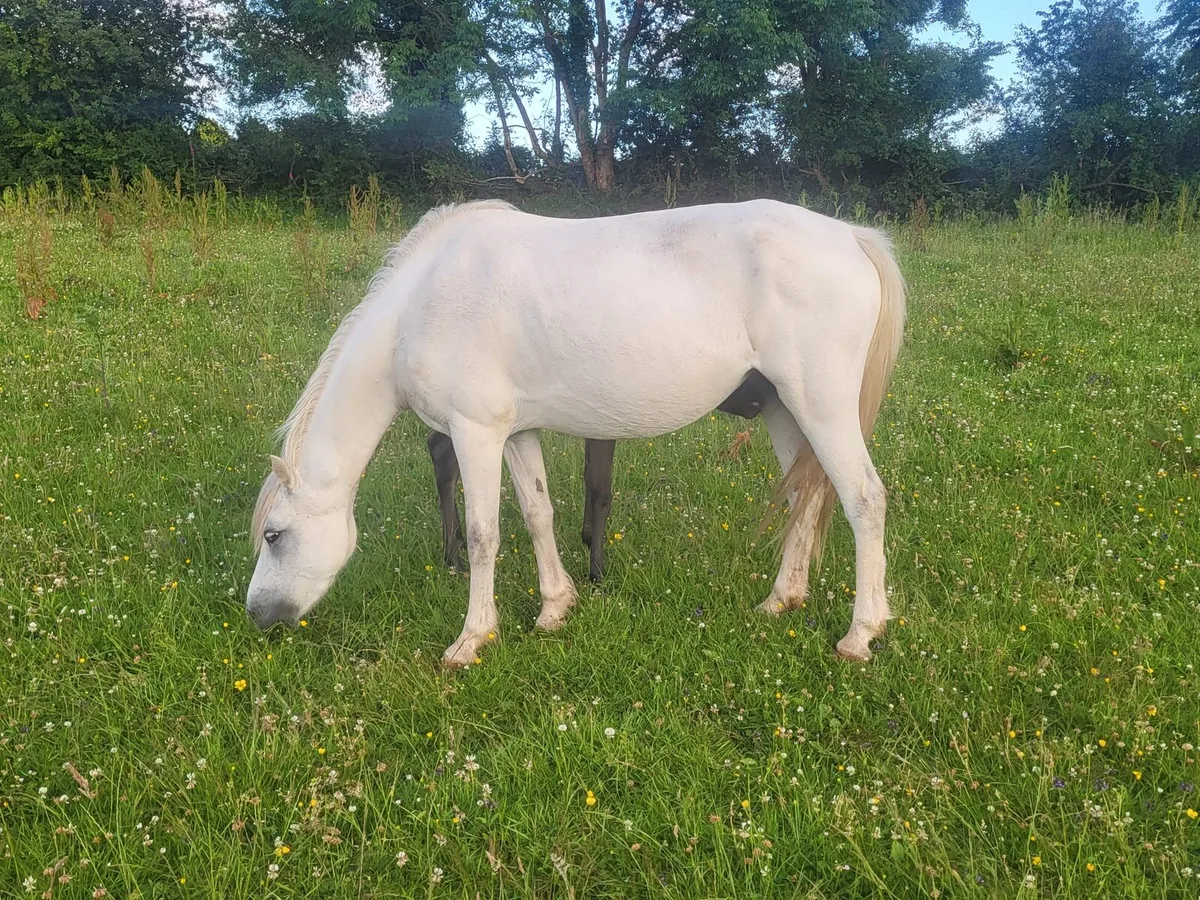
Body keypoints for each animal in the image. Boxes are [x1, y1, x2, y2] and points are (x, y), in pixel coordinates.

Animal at [425, 370, 777, 581]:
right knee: (443, 453)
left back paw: (454, 543)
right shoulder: (604, 424)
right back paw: (453, 556)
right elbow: (601, 490)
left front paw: (587, 539)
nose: (756, 404)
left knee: (439, 448)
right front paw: (597, 572)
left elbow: (590, 479)